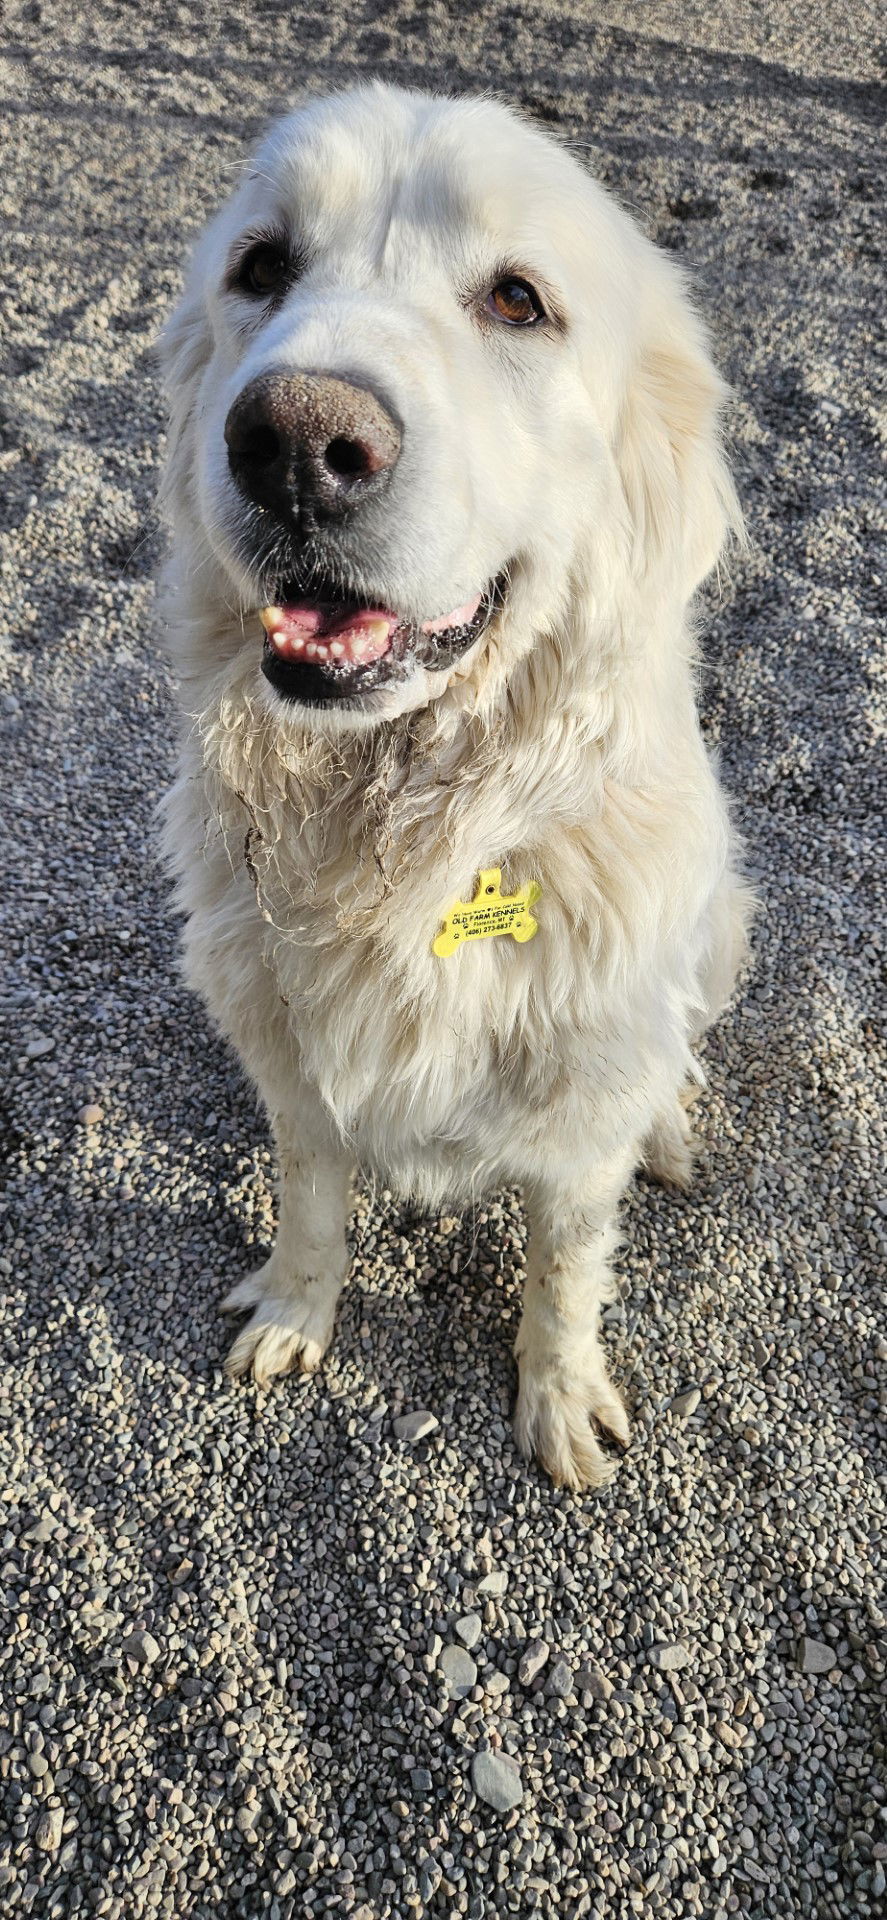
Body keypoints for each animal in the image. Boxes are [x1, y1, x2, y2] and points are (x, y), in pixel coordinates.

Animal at [157, 82, 748, 1489]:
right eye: (260, 267)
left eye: (516, 301)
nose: (294, 442)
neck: (411, 827)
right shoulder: (291, 1059)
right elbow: (311, 1199)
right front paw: (293, 1311)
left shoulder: (580, 1108)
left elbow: (563, 1267)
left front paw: (559, 1397)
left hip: (718, 928)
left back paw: (671, 1128)